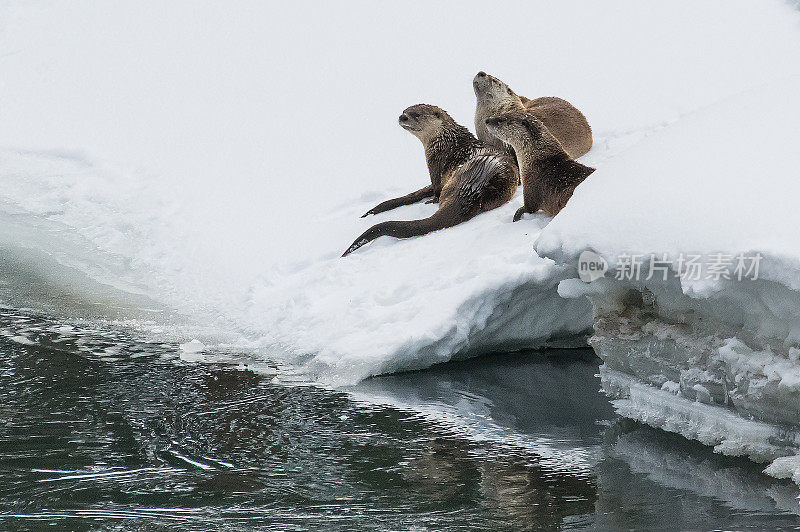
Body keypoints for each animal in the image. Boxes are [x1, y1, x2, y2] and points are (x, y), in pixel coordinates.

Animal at [342, 104, 520, 258]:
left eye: (416, 114)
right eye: (405, 110)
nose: (402, 116)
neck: (444, 141)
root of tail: (474, 187)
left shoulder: (434, 163)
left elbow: (435, 187)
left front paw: (431, 199)